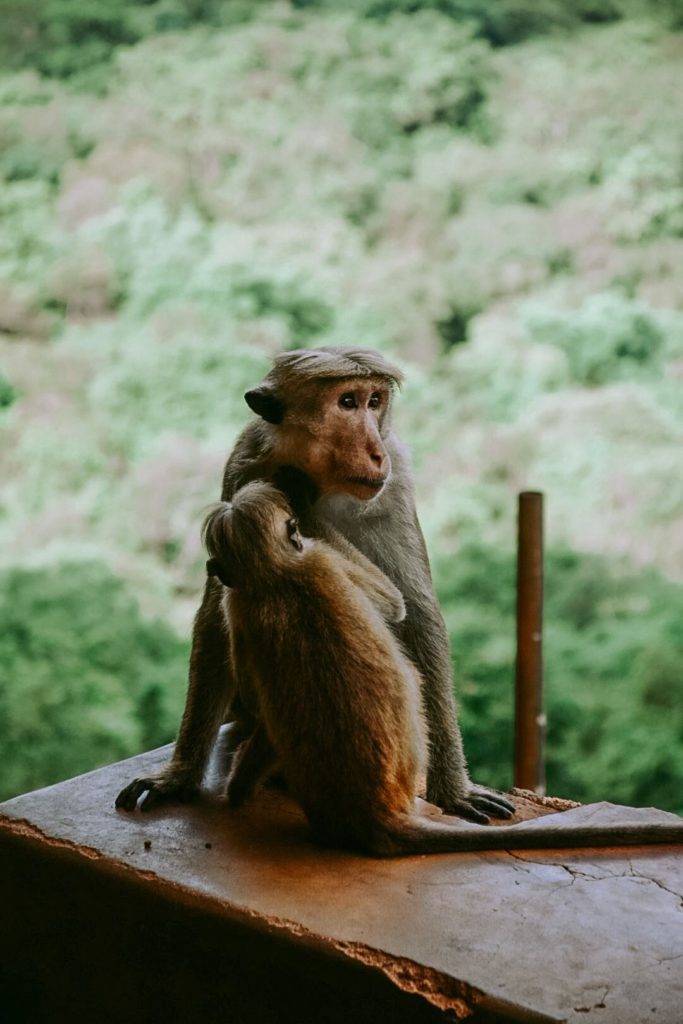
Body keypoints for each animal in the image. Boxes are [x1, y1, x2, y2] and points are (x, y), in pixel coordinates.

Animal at [116, 346, 511, 823]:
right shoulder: (245, 463)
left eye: (374, 401)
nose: (376, 452)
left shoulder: (396, 481)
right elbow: (215, 611)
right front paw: (178, 776)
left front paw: (452, 789)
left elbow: (416, 610)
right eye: (347, 402)